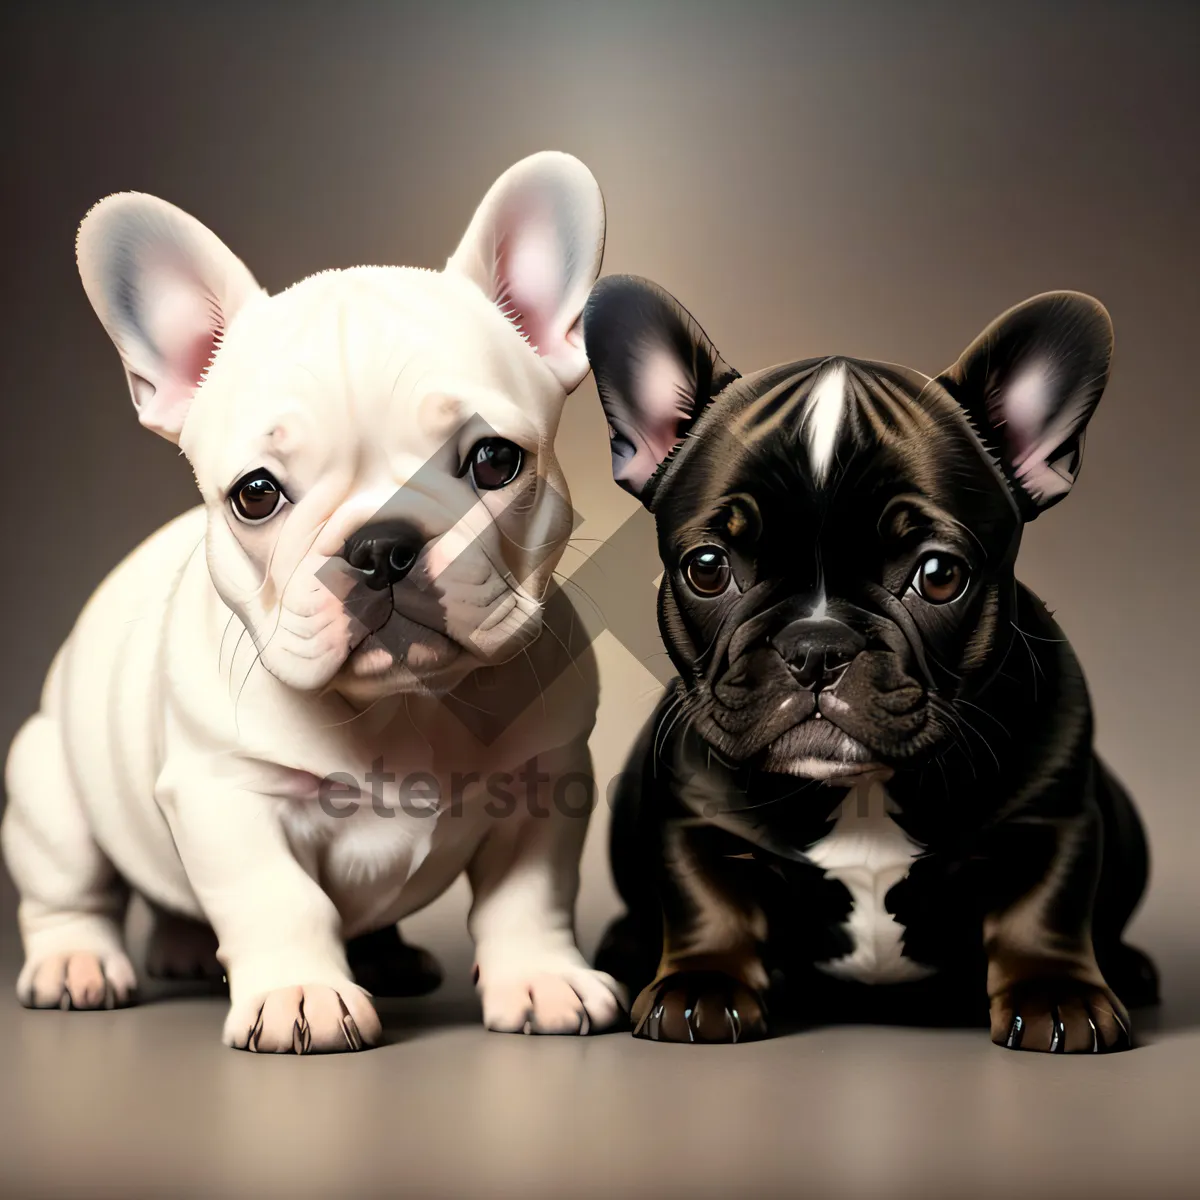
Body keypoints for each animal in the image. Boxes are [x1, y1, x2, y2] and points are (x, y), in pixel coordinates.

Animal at [0, 150, 619, 1051]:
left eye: (495, 460)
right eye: (256, 495)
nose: (382, 546)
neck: (401, 706)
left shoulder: (543, 784)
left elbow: (528, 897)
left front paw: (542, 980)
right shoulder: (226, 795)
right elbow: (278, 900)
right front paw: (301, 995)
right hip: (48, 788)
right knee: (71, 891)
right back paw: (78, 964)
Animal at [585, 274, 1156, 1051]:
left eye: (939, 576)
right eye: (707, 567)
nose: (816, 647)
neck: (860, 791)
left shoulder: (1053, 817)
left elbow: (1043, 909)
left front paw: (1056, 995)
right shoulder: (694, 820)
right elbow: (709, 903)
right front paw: (702, 986)